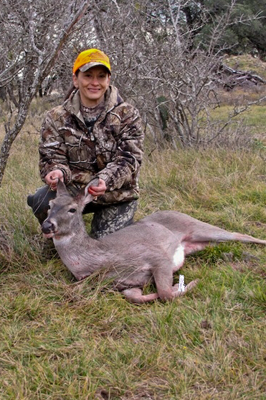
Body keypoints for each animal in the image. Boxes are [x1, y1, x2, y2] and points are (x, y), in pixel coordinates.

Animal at [41, 179, 266, 304]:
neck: (101, 259)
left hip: (198, 226)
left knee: (240, 235)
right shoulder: (126, 283)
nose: (47, 226)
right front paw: (169, 289)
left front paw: (187, 284)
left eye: (72, 209)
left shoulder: (157, 256)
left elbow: (165, 294)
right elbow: (135, 297)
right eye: (50, 204)